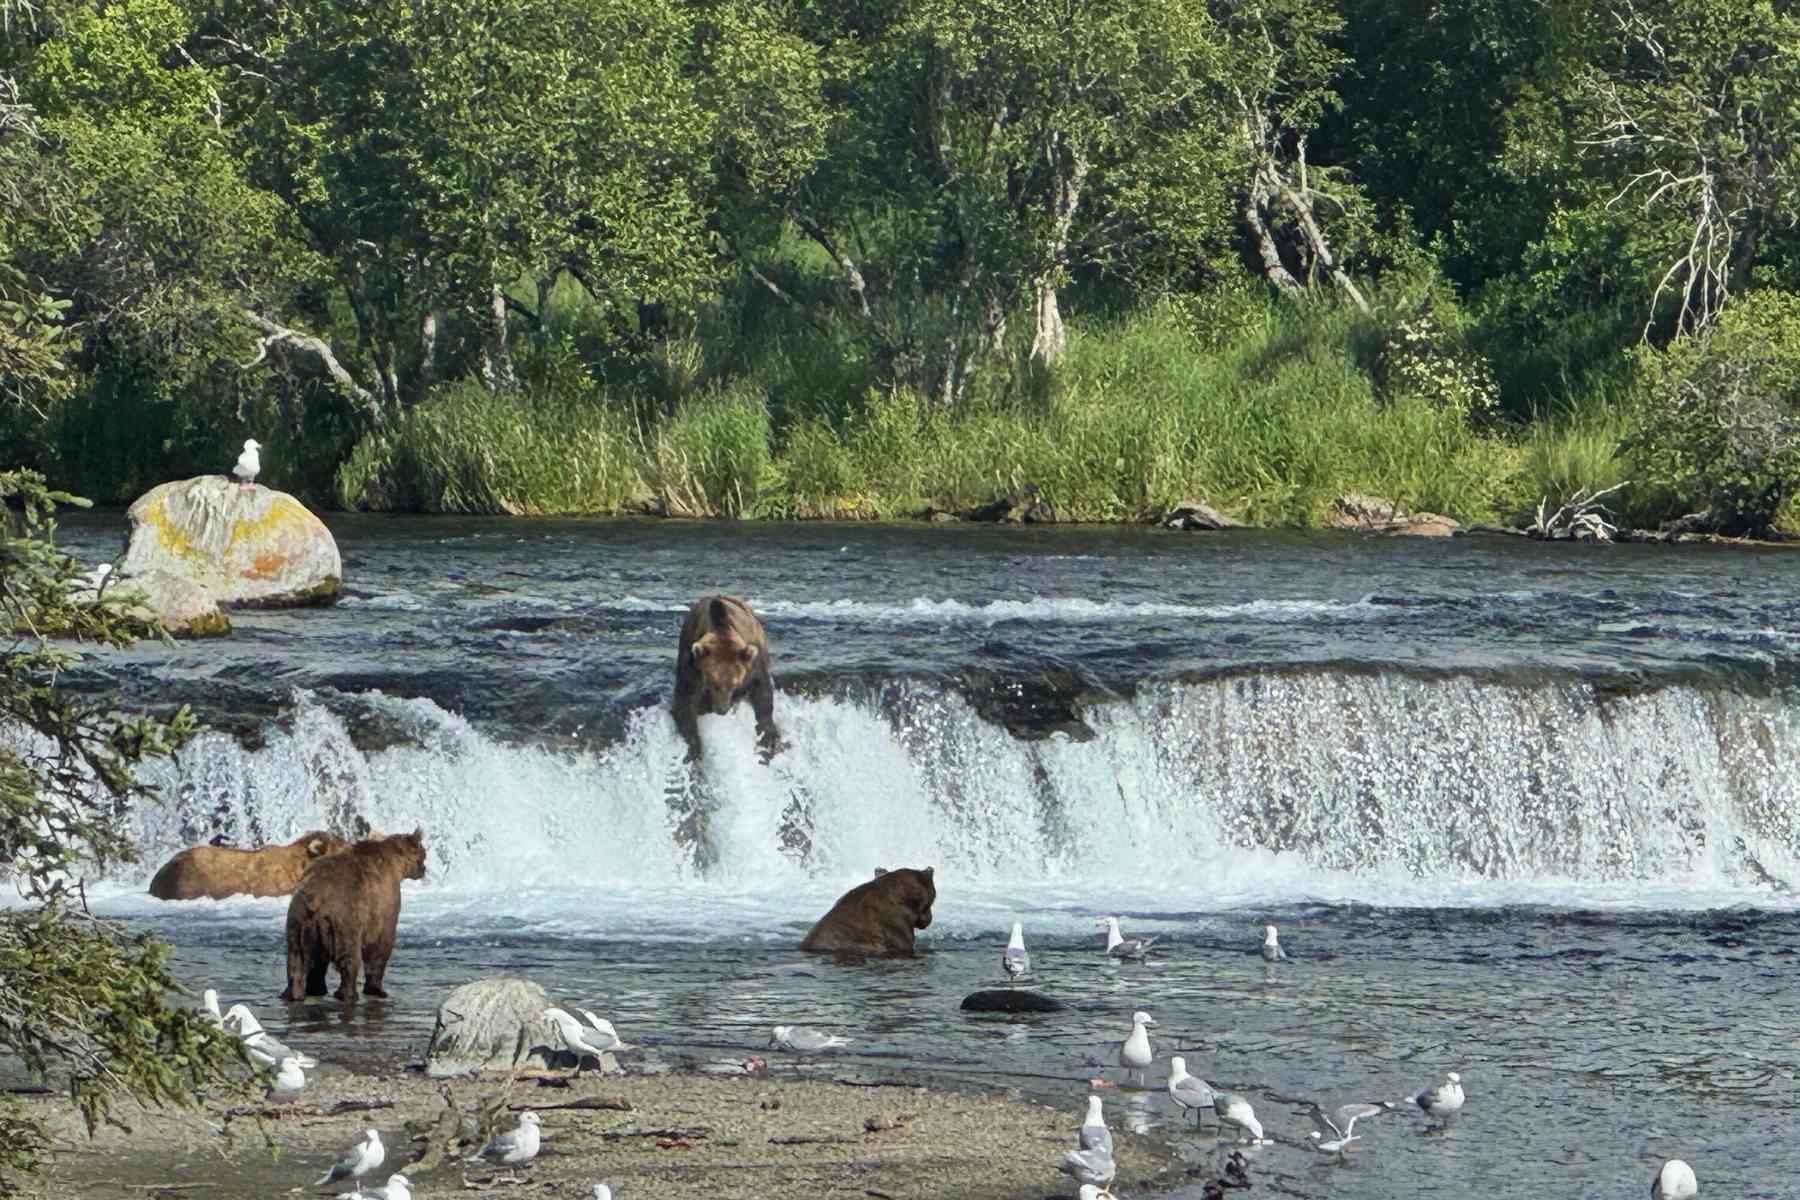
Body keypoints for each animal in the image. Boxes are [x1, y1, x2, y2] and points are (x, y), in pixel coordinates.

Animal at [281, 828, 427, 1002]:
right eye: (424, 853)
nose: (424, 870)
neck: (396, 865)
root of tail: (316, 899)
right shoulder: (383, 902)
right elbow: (381, 944)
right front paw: (377, 989)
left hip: (299, 921)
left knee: (298, 958)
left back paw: (299, 992)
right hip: (345, 919)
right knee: (349, 957)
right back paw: (348, 994)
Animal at [672, 594, 780, 762]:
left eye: (734, 684)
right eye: (712, 682)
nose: (721, 710)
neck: (721, 627)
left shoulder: (752, 664)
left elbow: (762, 694)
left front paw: (769, 736)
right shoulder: (692, 666)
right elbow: (686, 700)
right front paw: (694, 747)